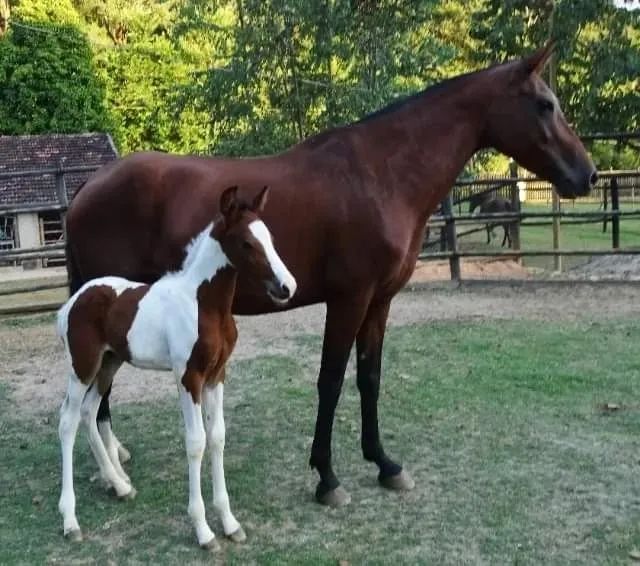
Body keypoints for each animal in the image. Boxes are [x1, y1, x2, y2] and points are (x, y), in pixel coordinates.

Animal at [57, 186, 296, 550]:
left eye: (269, 238)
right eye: (246, 243)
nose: (287, 287)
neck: (203, 304)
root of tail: (74, 300)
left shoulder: (216, 376)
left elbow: (218, 436)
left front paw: (230, 523)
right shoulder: (189, 378)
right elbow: (196, 442)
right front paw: (204, 531)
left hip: (109, 363)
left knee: (89, 412)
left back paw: (120, 485)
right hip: (82, 366)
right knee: (68, 421)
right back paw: (71, 520)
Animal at [64, 43, 597, 508]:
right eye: (545, 105)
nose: (587, 175)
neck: (381, 176)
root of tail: (87, 189)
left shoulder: (380, 301)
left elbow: (370, 377)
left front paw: (384, 464)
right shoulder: (349, 299)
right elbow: (331, 380)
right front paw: (327, 477)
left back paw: (113, 462)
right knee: (94, 396)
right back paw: (114, 474)